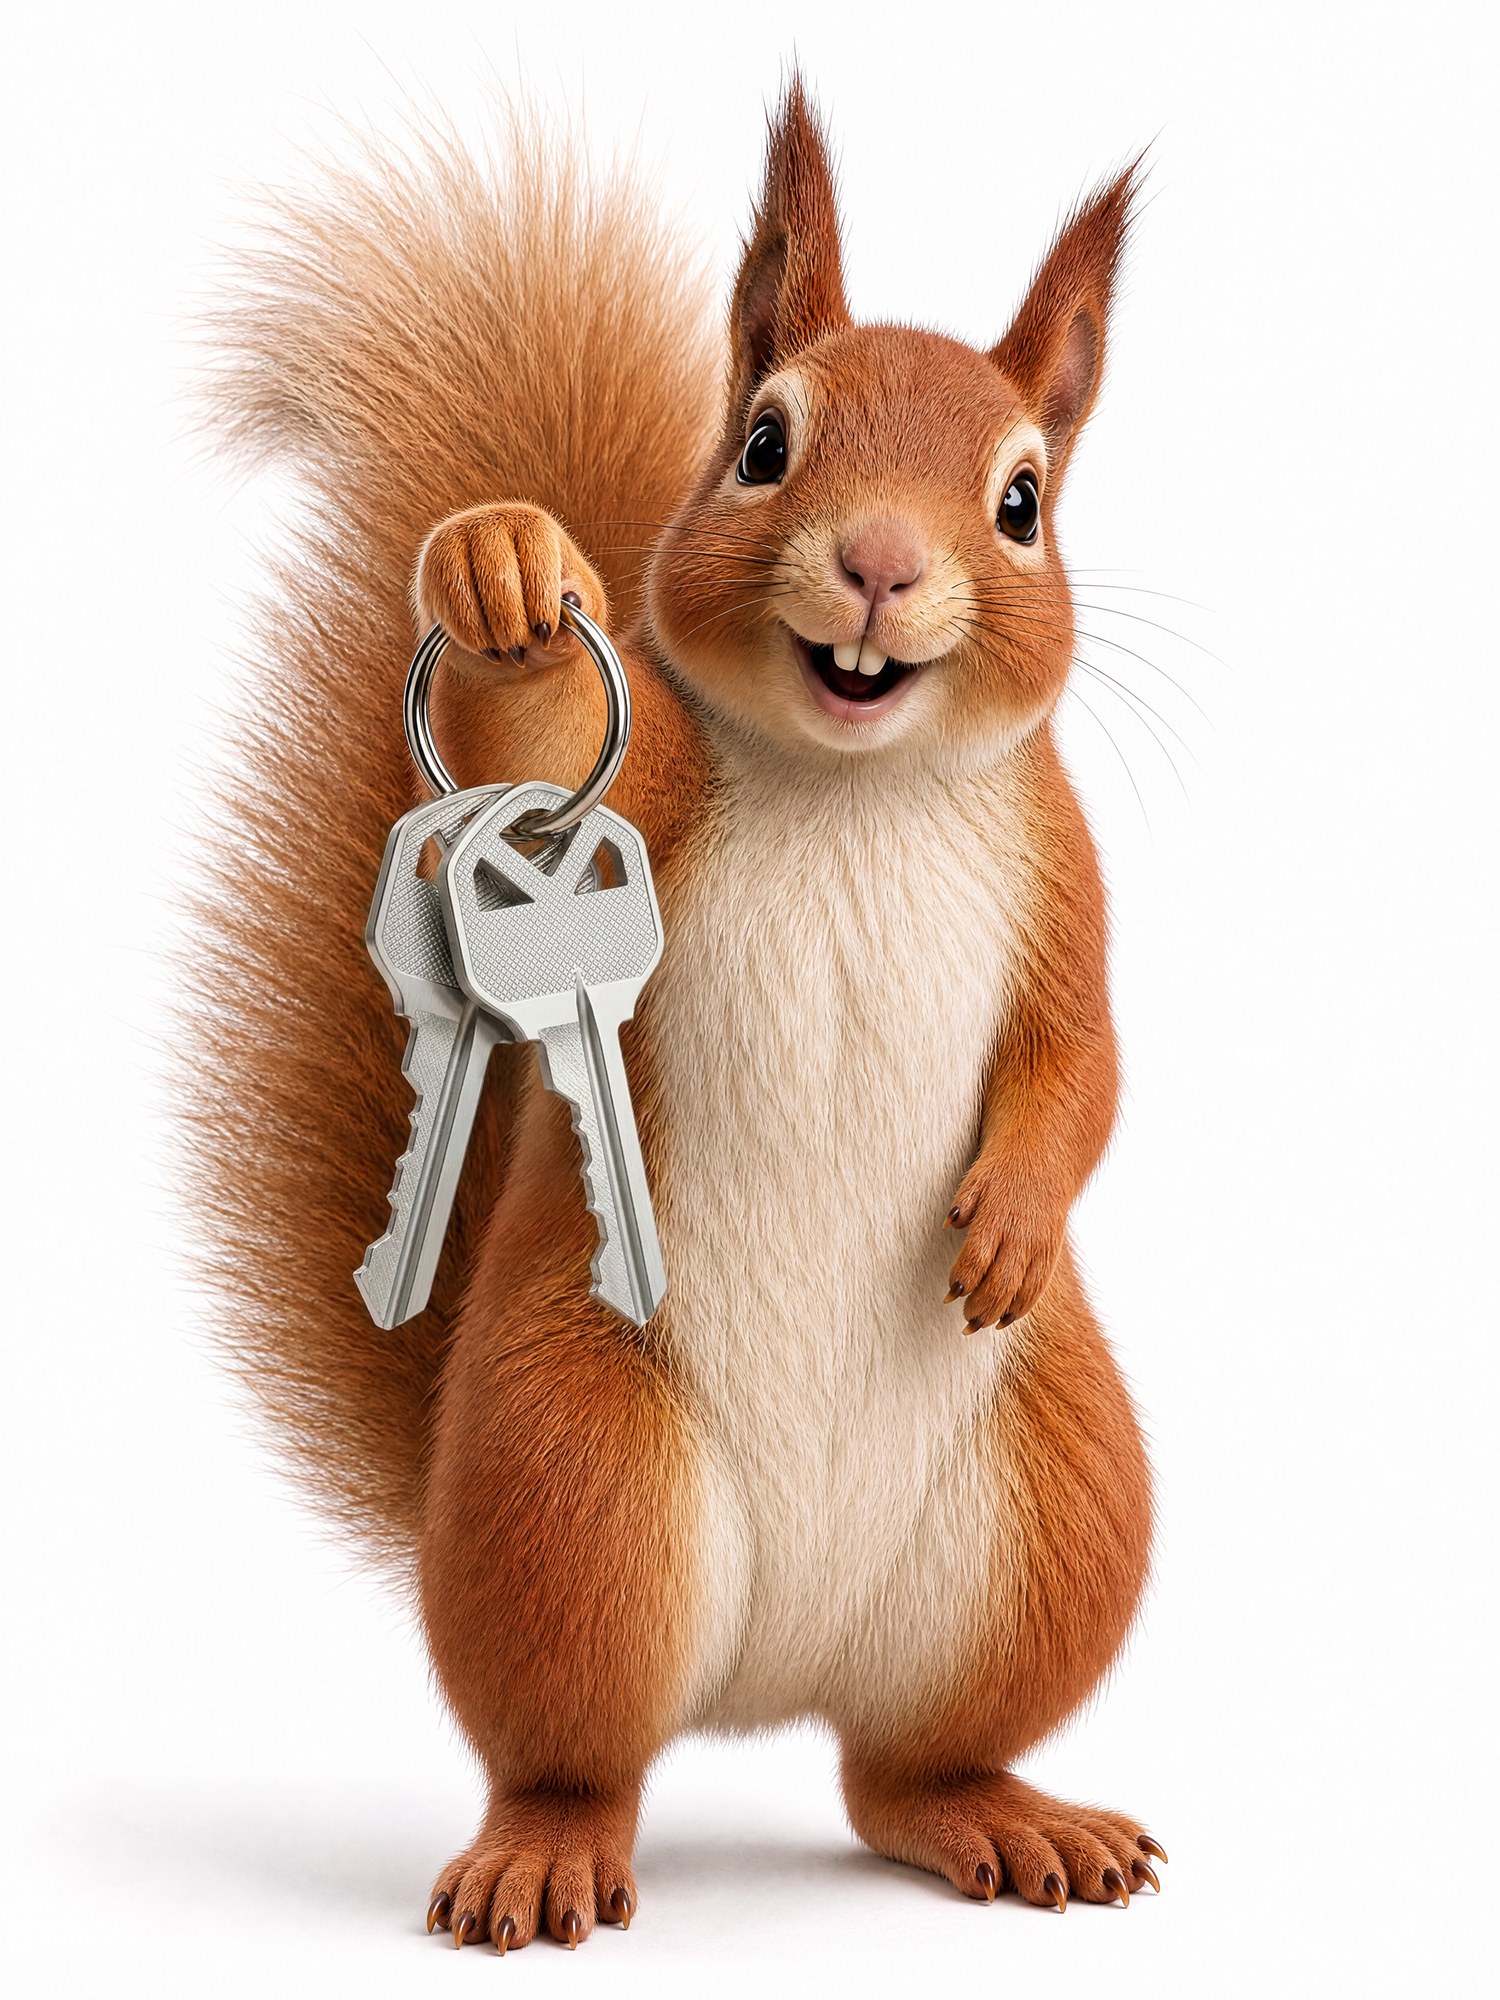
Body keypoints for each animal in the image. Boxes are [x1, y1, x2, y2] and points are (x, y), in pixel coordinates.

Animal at [190, 79, 1159, 1950]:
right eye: (765, 447)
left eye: (1022, 502)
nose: (879, 565)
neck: (855, 777)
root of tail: (769, 1683)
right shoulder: (615, 793)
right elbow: (530, 742)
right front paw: (502, 574)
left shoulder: (1068, 883)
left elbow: (1083, 1070)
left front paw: (1011, 1219)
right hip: (571, 1488)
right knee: (578, 1753)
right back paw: (546, 1852)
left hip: (1056, 1520)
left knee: (896, 1773)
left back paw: (1007, 1819)